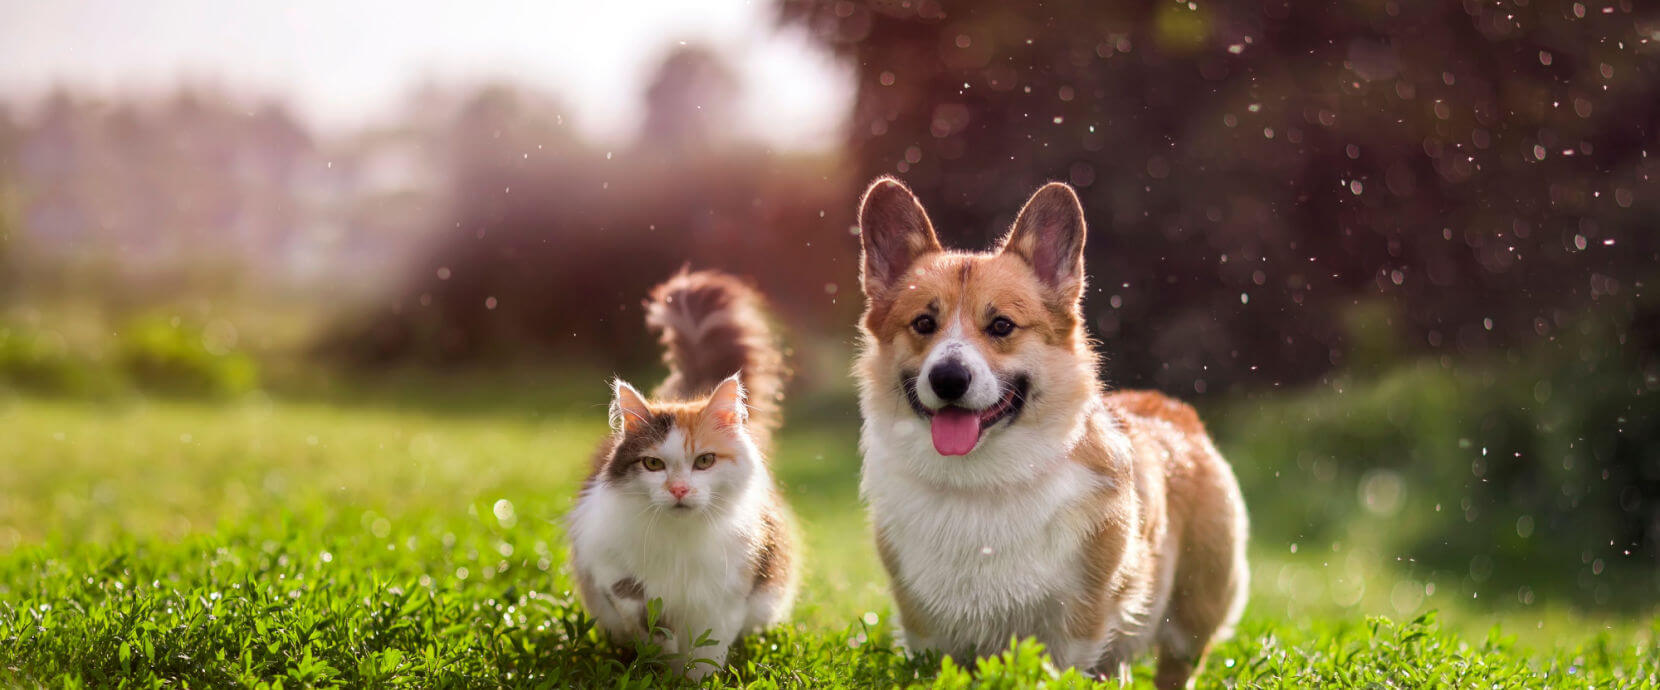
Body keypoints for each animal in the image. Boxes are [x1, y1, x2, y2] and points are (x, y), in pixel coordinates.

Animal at [567, 268, 800, 680]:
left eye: (704, 462)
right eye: (653, 464)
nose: (678, 489)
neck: (679, 539)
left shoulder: (728, 593)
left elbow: (707, 652)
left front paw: (695, 680)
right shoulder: (603, 560)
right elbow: (637, 604)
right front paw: (660, 651)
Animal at [856, 179, 1248, 690]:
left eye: (1001, 325)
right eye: (923, 323)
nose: (948, 379)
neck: (980, 481)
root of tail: (1173, 409)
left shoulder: (1077, 627)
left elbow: (1063, 667)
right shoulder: (925, 630)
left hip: (1191, 618)